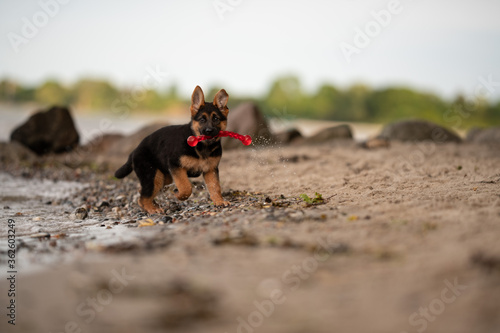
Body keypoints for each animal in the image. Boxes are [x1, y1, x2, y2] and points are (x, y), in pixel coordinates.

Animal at [114, 85, 229, 214]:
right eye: (202, 120)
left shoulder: (211, 170)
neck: (202, 146)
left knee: (142, 193)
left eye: (216, 119)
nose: (209, 131)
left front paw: (219, 201)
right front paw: (179, 195)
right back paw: (152, 209)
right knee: (144, 196)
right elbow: (186, 186)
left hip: (163, 177)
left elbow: (215, 187)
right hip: (153, 176)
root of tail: (134, 151)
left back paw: (152, 205)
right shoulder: (176, 166)